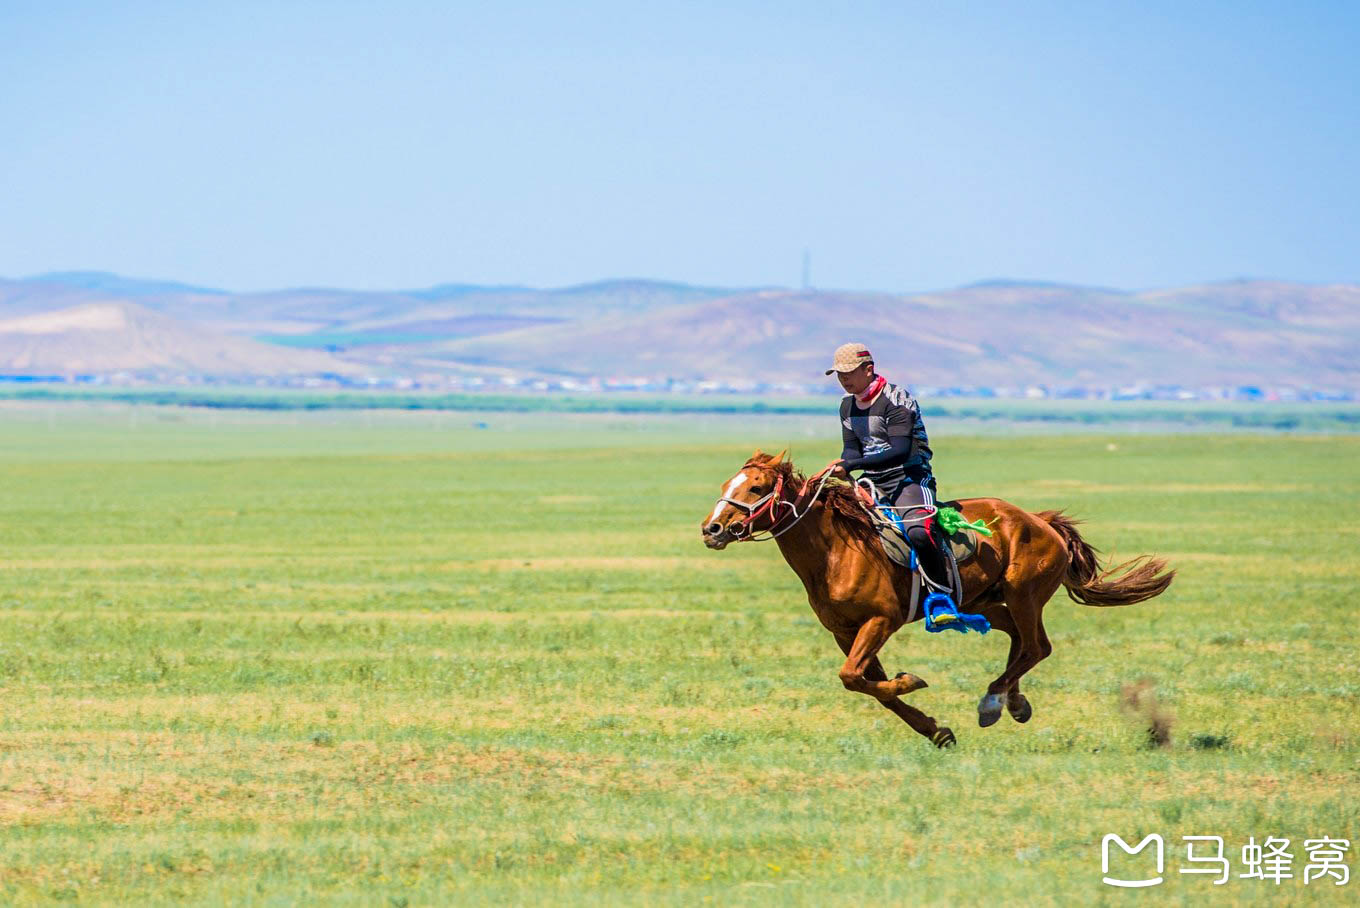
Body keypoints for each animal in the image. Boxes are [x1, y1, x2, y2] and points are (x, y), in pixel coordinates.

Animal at [701, 451, 1169, 750]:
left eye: (756, 487)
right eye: (726, 484)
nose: (712, 529)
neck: (835, 550)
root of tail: (1041, 521)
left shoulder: (880, 621)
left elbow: (854, 678)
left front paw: (912, 681)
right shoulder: (845, 632)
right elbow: (870, 687)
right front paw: (935, 730)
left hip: (1024, 596)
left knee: (1037, 646)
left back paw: (992, 701)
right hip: (985, 604)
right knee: (1021, 643)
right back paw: (1014, 703)